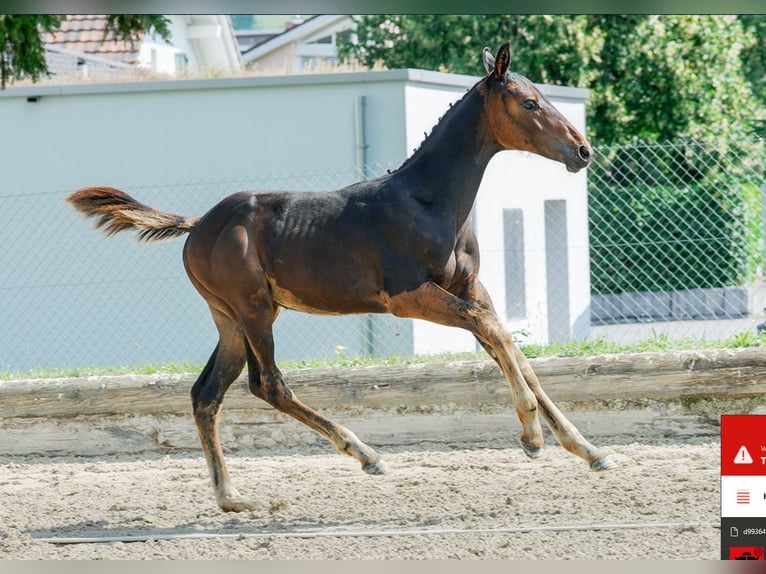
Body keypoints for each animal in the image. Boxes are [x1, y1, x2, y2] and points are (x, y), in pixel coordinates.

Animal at [67, 44, 616, 512]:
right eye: (529, 102)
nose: (582, 151)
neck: (428, 202)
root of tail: (198, 224)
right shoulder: (408, 297)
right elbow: (496, 333)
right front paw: (532, 437)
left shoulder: (468, 288)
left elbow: (511, 347)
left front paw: (588, 449)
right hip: (254, 310)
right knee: (268, 384)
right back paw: (366, 454)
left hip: (228, 319)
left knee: (207, 393)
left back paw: (232, 497)